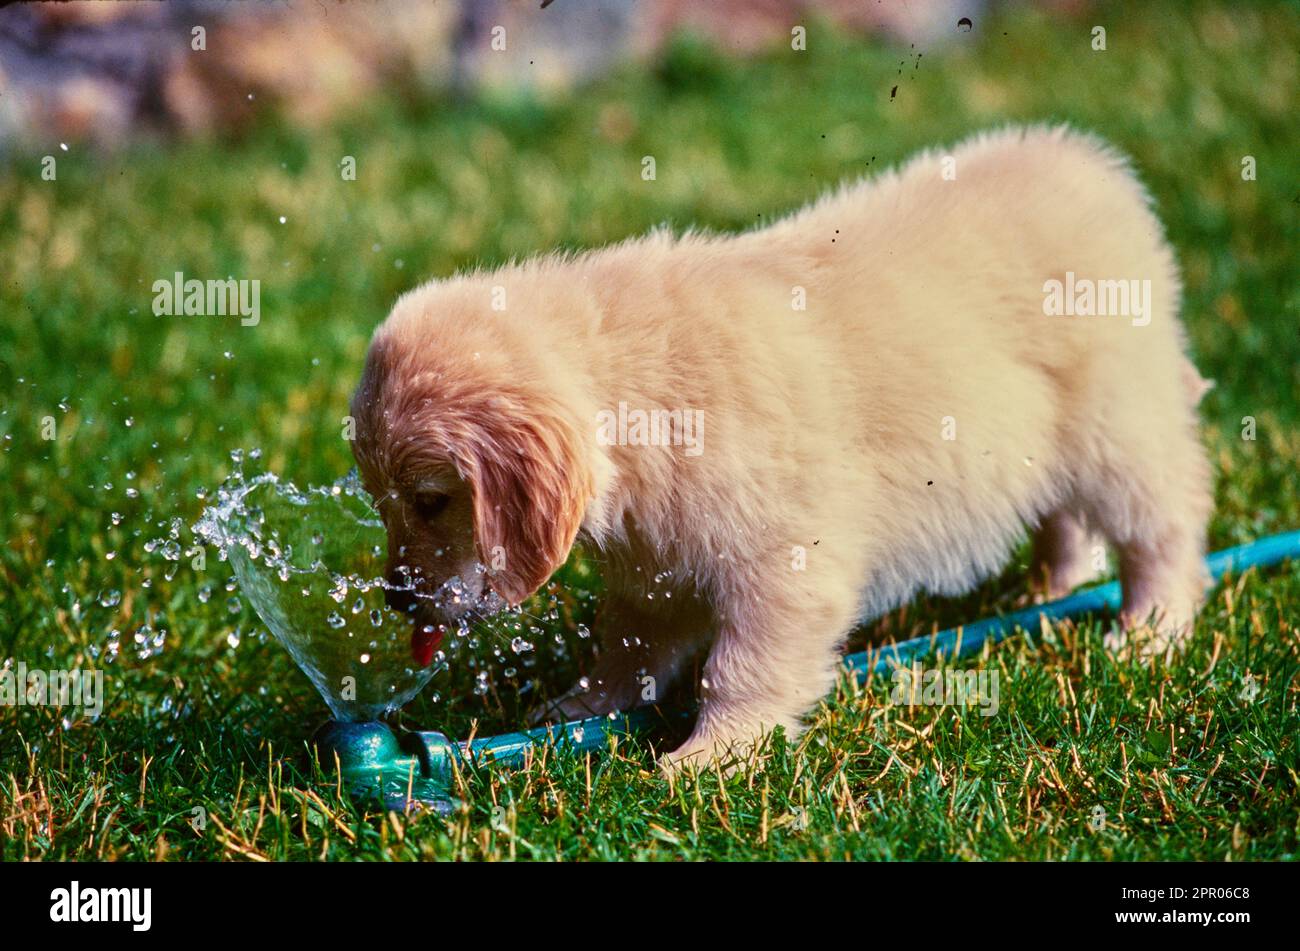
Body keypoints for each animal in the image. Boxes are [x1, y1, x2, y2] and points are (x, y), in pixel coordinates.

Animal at [351, 122, 1211, 769]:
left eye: (431, 501)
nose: (396, 600)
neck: (639, 399)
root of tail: (1090, 165)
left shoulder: (784, 566)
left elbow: (741, 667)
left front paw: (714, 755)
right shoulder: (655, 571)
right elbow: (627, 648)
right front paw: (578, 709)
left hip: (1117, 432)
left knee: (1166, 526)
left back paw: (1149, 628)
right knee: (1068, 520)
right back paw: (1050, 589)